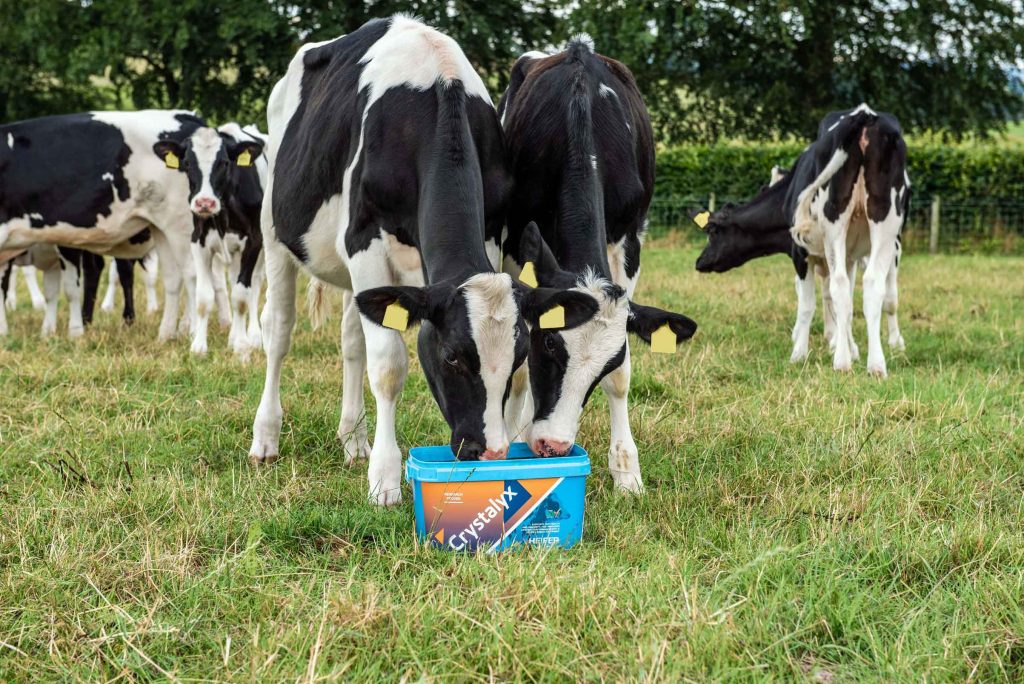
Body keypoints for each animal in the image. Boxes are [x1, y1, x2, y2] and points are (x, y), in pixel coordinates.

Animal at [0, 110, 206, 341]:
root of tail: (184, 115)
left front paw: (75, 333)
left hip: (182, 225)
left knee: (192, 275)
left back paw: (192, 333)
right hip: (161, 228)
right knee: (173, 277)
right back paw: (166, 335)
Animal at [152, 123, 267, 358]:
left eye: (224, 163)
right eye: (187, 163)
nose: (205, 202)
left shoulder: (254, 241)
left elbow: (242, 296)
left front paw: (243, 347)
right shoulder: (199, 242)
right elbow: (204, 298)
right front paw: (199, 346)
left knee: (255, 284)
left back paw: (253, 337)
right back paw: (233, 336)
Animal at [249, 15, 600, 505]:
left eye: (518, 357)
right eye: (451, 357)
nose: (490, 452)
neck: (437, 95)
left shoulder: (492, 233)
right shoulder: (364, 241)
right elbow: (388, 365)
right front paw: (384, 478)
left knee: (351, 339)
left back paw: (353, 439)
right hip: (274, 227)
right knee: (279, 330)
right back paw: (266, 438)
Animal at [497, 36, 698, 493]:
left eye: (605, 364)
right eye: (550, 345)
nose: (552, 445)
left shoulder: (629, 242)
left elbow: (622, 379)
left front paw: (626, 469)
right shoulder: (517, 243)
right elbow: (519, 361)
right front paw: (515, 433)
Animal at [695, 104, 909, 376]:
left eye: (712, 231)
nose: (699, 262)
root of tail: (865, 115)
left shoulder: (800, 252)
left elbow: (808, 303)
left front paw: (800, 352)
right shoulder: (846, 255)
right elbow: (843, 305)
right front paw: (847, 346)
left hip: (845, 226)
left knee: (859, 291)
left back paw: (847, 361)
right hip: (885, 221)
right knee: (872, 285)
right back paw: (876, 365)